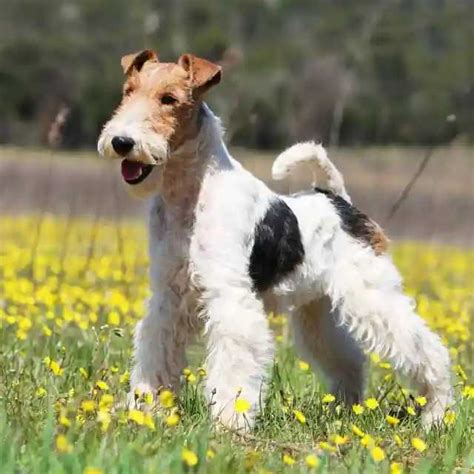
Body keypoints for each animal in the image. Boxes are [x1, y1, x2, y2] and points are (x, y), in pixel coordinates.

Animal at [98, 50, 454, 428]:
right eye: (128, 92)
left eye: (169, 99)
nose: (122, 142)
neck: (190, 192)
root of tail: (338, 200)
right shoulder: (168, 298)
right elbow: (156, 352)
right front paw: (145, 408)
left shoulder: (230, 297)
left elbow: (233, 367)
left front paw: (230, 421)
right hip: (318, 312)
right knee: (349, 360)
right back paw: (345, 410)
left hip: (372, 296)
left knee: (429, 350)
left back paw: (437, 412)